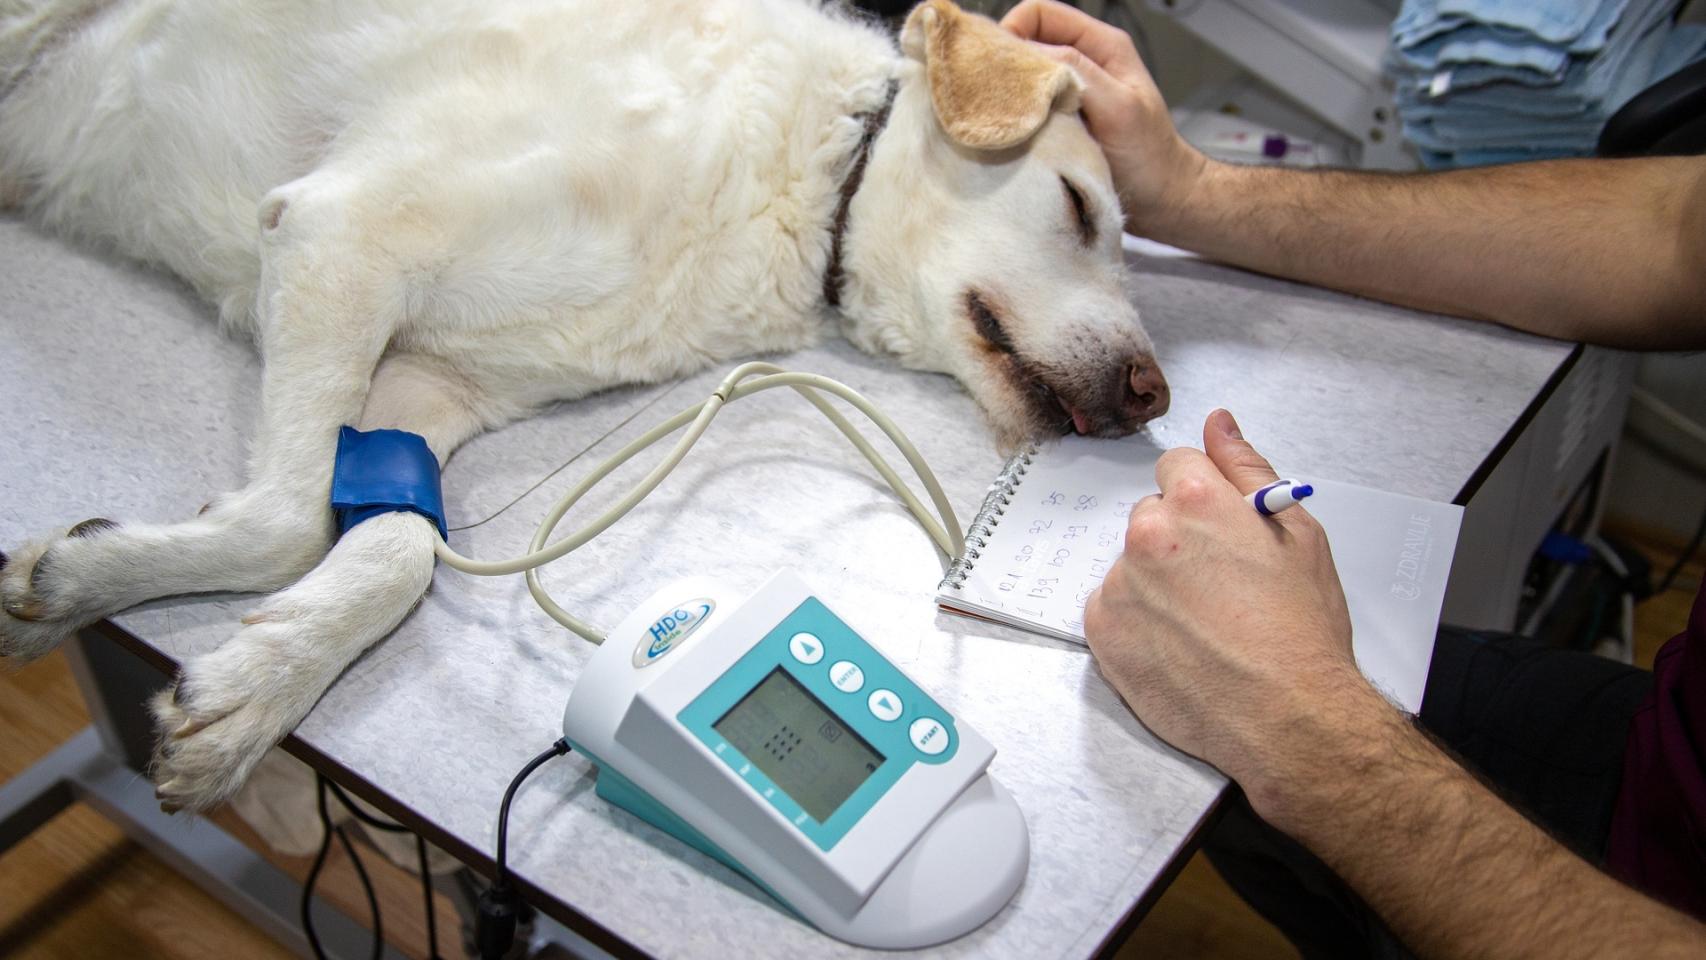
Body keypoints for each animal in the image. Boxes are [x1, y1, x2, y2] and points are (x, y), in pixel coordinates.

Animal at [0, 0, 1166, 811]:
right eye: (1077, 208)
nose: (1154, 398)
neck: (800, 175)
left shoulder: (425, 387)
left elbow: (397, 551)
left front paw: (248, 681)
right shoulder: (342, 233)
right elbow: (288, 523)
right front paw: (101, 589)